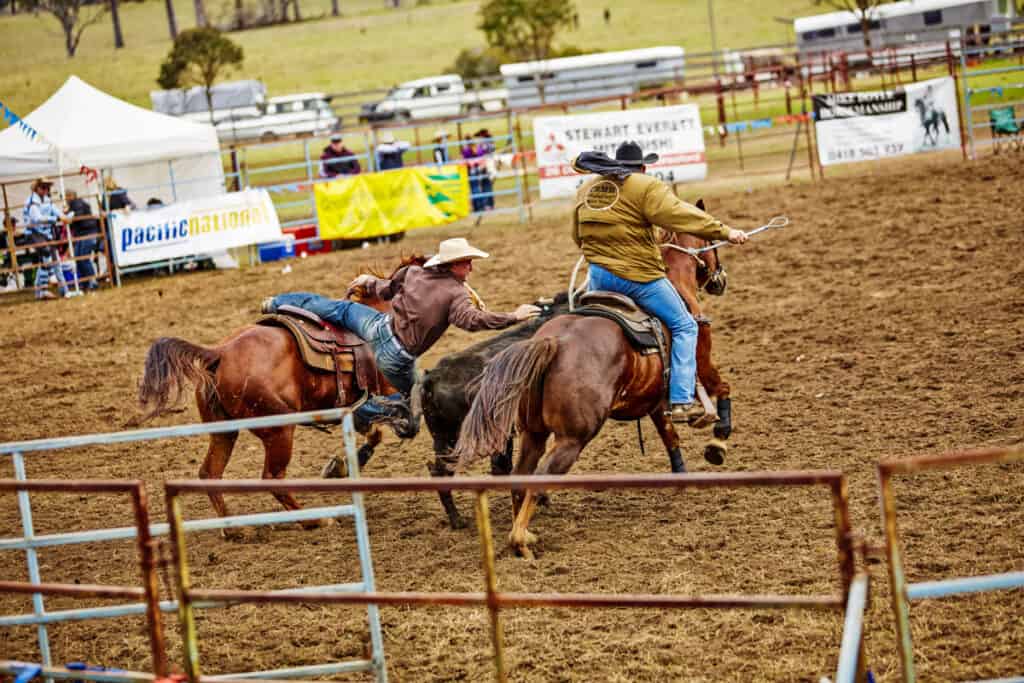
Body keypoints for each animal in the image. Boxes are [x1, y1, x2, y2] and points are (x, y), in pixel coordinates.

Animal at [136, 253, 423, 528]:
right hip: (280, 430)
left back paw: (234, 529)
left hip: (224, 431)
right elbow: (385, 427)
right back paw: (314, 520)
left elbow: (373, 434)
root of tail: (219, 353)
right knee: (272, 478)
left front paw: (339, 466)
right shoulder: (381, 394)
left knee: (210, 473)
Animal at [452, 232, 733, 557]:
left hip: (533, 432)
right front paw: (717, 443)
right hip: (572, 439)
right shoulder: (702, 362)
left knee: (520, 477)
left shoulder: (654, 399)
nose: (720, 279)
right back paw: (521, 538)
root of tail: (554, 342)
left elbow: (669, 435)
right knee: (539, 478)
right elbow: (723, 390)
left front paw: (682, 475)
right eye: (711, 244)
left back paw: (520, 543)